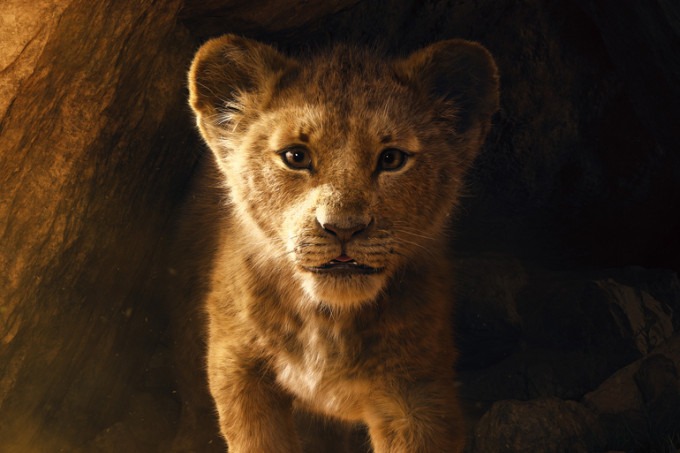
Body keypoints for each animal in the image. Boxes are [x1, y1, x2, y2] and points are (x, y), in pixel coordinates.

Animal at [187, 34, 499, 452]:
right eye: (295, 156)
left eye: (392, 158)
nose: (343, 228)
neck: (328, 321)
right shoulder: (236, 366)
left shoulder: (419, 392)